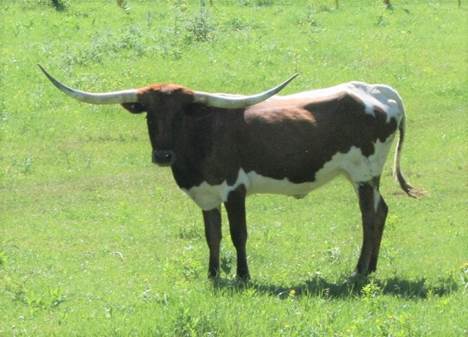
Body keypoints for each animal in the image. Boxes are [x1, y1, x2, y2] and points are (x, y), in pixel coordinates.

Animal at [38, 65, 422, 278]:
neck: (200, 140)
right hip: (366, 177)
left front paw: (242, 276)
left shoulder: (234, 190)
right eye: (150, 113)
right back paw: (371, 267)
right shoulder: (206, 195)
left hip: (364, 174)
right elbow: (213, 235)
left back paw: (358, 271)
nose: (162, 154)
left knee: (369, 218)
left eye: (181, 113)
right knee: (381, 212)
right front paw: (212, 275)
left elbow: (239, 234)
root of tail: (380, 93)